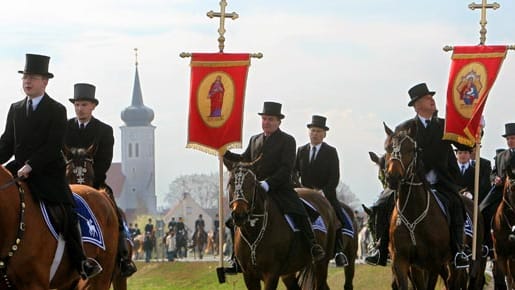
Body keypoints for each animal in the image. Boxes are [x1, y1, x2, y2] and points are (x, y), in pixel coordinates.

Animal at [224, 161, 336, 290]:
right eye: (231, 182)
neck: (254, 232)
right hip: (289, 273)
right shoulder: (249, 276)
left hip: (321, 264)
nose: (239, 215)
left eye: (252, 184)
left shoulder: (271, 274)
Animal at [382, 123, 452, 290]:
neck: (413, 211)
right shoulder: (402, 261)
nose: (393, 177)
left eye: (410, 150)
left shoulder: (435, 262)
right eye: (387, 148)